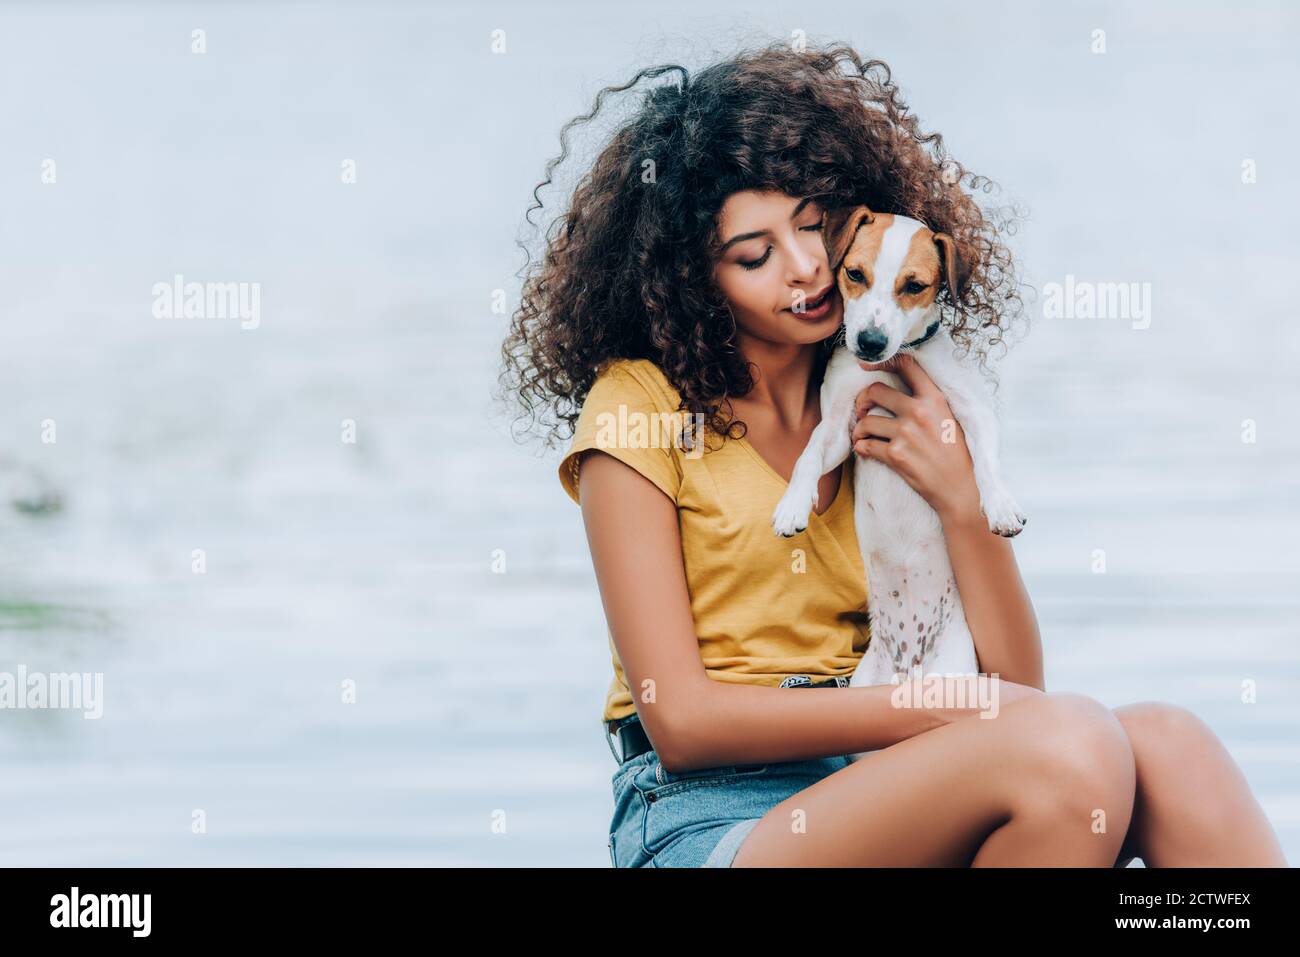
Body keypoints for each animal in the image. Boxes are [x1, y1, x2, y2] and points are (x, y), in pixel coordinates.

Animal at [769, 205, 1024, 759]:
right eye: (854, 274)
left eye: (915, 285)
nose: (869, 342)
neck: (891, 368)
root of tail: (908, 667)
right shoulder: (842, 427)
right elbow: (807, 455)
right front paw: (792, 505)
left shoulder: (968, 411)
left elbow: (987, 462)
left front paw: (1000, 507)